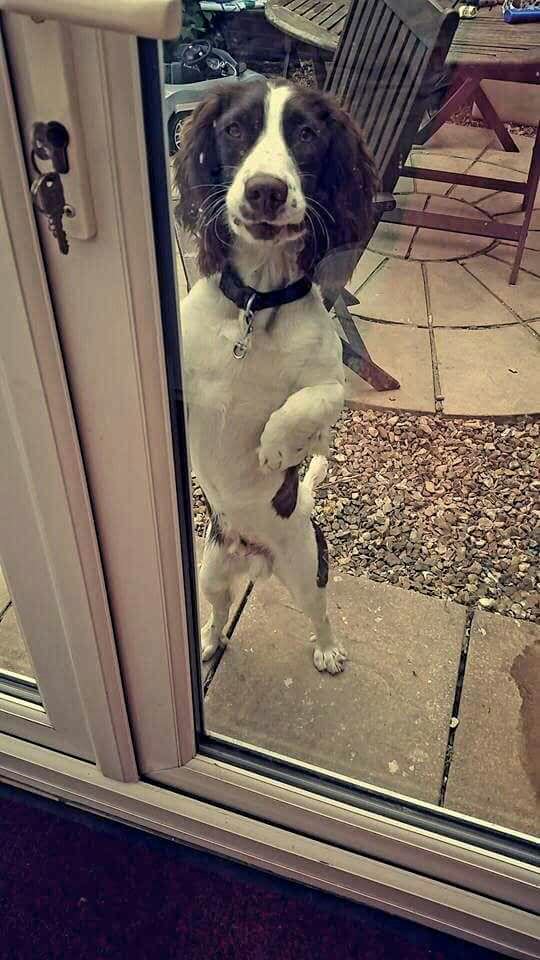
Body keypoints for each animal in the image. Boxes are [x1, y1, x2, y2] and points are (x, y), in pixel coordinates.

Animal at [175, 79, 378, 672]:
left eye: (306, 134)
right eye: (235, 128)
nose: (265, 191)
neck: (256, 304)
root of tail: (255, 556)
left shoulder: (332, 385)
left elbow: (304, 404)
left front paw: (274, 448)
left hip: (306, 568)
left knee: (319, 613)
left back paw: (329, 650)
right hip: (211, 570)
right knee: (220, 610)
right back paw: (208, 641)